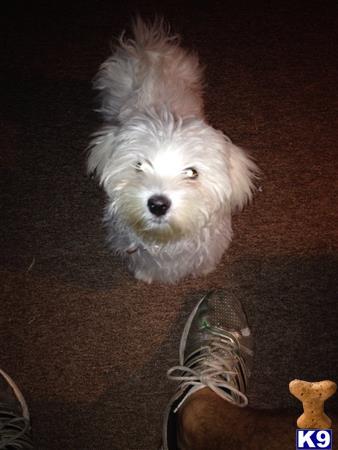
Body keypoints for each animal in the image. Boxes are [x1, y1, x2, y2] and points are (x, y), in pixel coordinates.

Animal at [88, 18, 258, 284]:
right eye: (139, 166)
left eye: (192, 173)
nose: (158, 205)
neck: (165, 240)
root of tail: (149, 45)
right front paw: (145, 275)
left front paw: (203, 271)